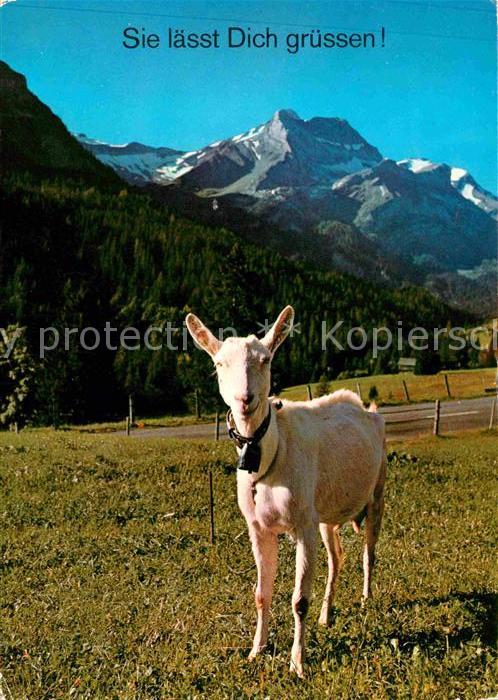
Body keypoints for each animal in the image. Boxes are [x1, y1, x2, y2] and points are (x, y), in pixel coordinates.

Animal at [186, 306, 387, 677]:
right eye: (219, 363)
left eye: (265, 359)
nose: (245, 399)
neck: (270, 456)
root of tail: (370, 412)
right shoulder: (260, 527)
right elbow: (261, 594)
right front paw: (256, 650)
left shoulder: (303, 524)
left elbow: (299, 600)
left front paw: (297, 663)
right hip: (326, 513)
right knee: (337, 557)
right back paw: (327, 615)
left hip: (378, 489)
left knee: (369, 551)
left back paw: (366, 598)